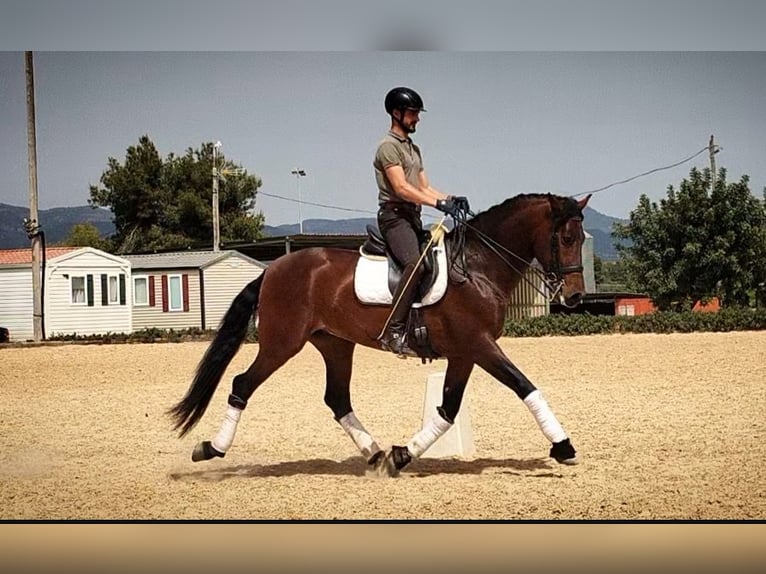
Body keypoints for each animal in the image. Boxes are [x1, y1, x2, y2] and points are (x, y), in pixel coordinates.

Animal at [168, 192, 591, 477]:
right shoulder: (480, 345)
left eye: (582, 238)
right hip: (281, 344)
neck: (477, 267)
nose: (574, 297)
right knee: (243, 383)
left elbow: (448, 409)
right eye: (567, 238)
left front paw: (402, 454)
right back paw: (211, 448)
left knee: (337, 398)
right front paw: (564, 445)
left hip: (336, 344)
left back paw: (374, 453)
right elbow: (524, 386)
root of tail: (272, 269)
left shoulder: (465, 352)